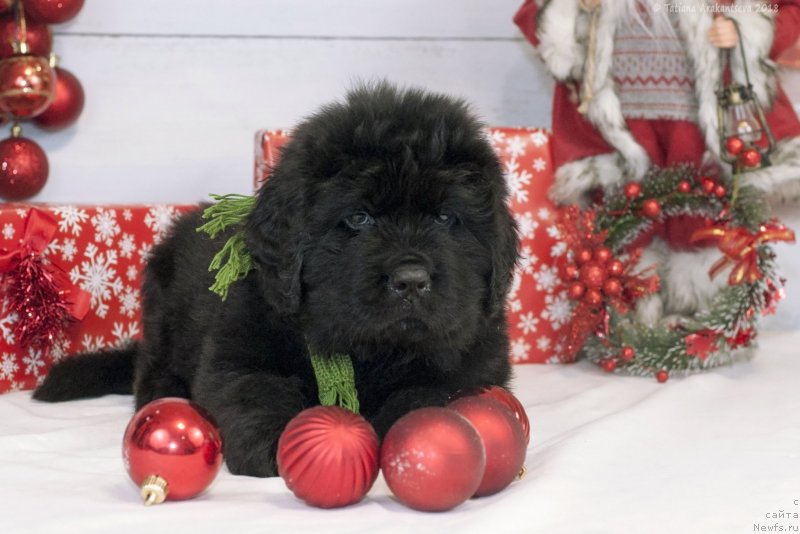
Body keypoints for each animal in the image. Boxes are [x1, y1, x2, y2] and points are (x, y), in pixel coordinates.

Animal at [36, 84, 520, 478]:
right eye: (359, 218)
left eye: (446, 218)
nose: (411, 280)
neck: (371, 351)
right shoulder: (238, 351)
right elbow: (256, 390)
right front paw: (276, 442)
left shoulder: (477, 361)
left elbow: (428, 395)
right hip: (160, 307)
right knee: (151, 368)